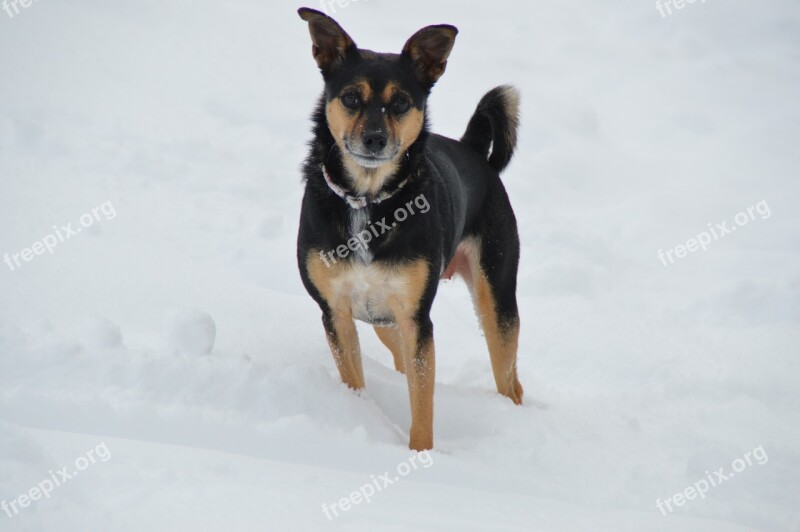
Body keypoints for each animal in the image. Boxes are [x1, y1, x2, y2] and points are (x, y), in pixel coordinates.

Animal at [296, 7, 520, 448]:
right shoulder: (337, 312)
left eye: (400, 103)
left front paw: (420, 453)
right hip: (384, 319)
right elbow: (355, 379)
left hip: (497, 295)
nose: (374, 139)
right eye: (351, 98)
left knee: (509, 375)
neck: (368, 200)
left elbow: (422, 402)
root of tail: (472, 150)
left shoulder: (417, 319)